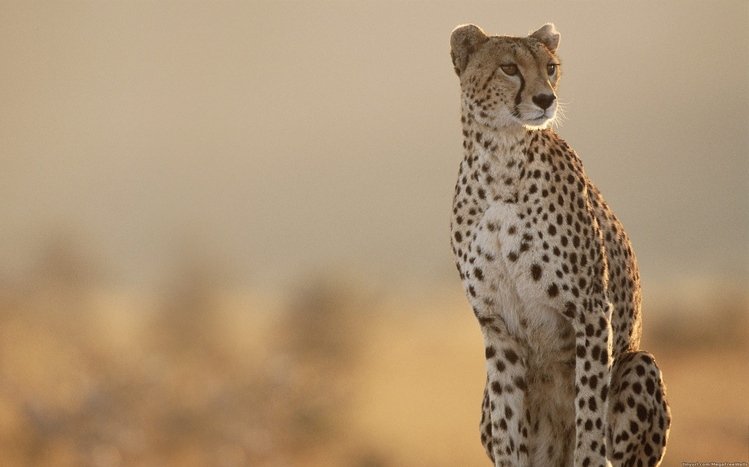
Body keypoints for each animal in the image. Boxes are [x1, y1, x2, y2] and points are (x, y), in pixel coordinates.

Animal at [448, 23, 671, 467]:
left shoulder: (591, 309)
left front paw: (587, 452)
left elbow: (589, 408)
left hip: (640, 363)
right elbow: (508, 423)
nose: (545, 98)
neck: (499, 161)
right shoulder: (497, 327)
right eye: (509, 68)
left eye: (550, 67)